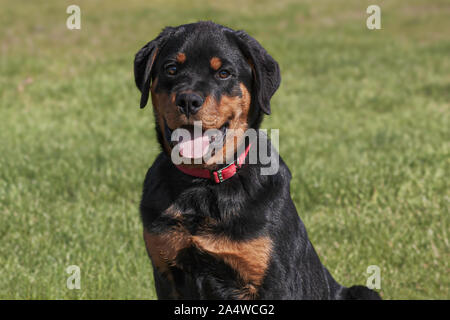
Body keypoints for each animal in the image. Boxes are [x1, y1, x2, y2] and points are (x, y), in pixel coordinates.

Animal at [134, 21, 380, 302]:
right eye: (171, 69)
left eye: (224, 73)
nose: (188, 100)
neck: (202, 185)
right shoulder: (166, 271)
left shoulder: (271, 279)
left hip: (364, 292)